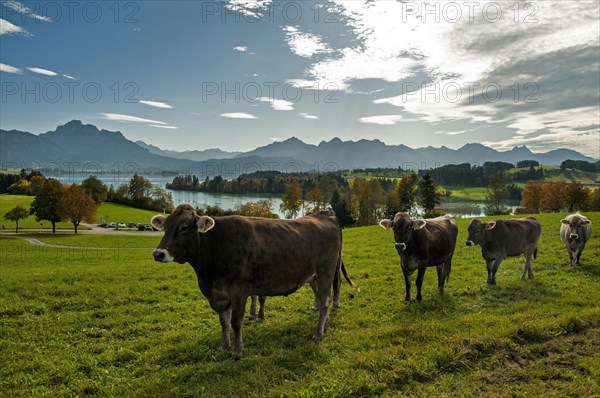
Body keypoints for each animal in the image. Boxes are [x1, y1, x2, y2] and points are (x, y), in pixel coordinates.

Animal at [152, 205, 354, 360]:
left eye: (184, 228)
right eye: (165, 226)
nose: (158, 253)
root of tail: (326, 214)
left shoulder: (239, 290)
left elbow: (235, 322)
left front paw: (237, 352)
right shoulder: (220, 294)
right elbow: (223, 322)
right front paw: (224, 345)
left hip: (326, 269)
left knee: (326, 300)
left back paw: (318, 334)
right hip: (315, 275)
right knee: (322, 298)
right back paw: (325, 325)